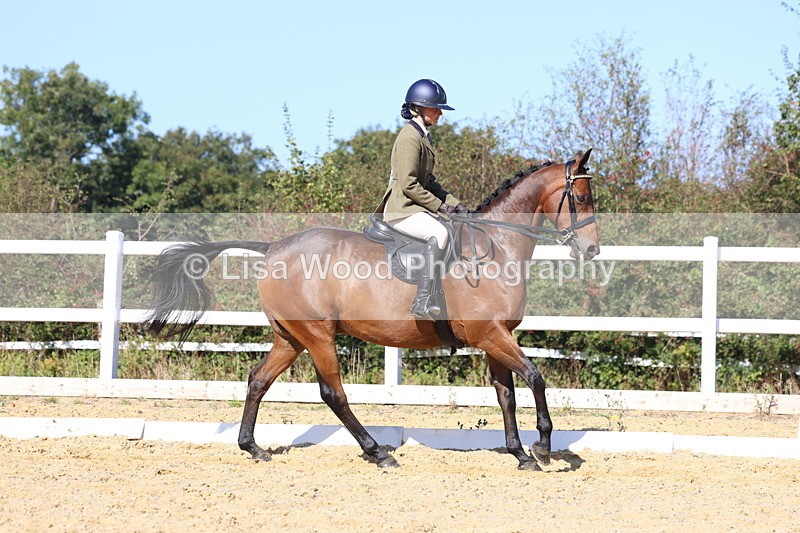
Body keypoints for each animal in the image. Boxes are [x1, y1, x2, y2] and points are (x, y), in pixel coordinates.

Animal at [146, 149, 599, 471]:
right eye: (580, 197)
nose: (592, 250)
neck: (497, 249)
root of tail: (273, 247)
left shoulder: (495, 336)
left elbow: (506, 395)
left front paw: (520, 454)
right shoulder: (489, 334)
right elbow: (535, 378)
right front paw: (543, 446)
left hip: (290, 337)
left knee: (258, 380)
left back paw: (252, 447)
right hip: (317, 335)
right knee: (333, 393)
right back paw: (377, 451)